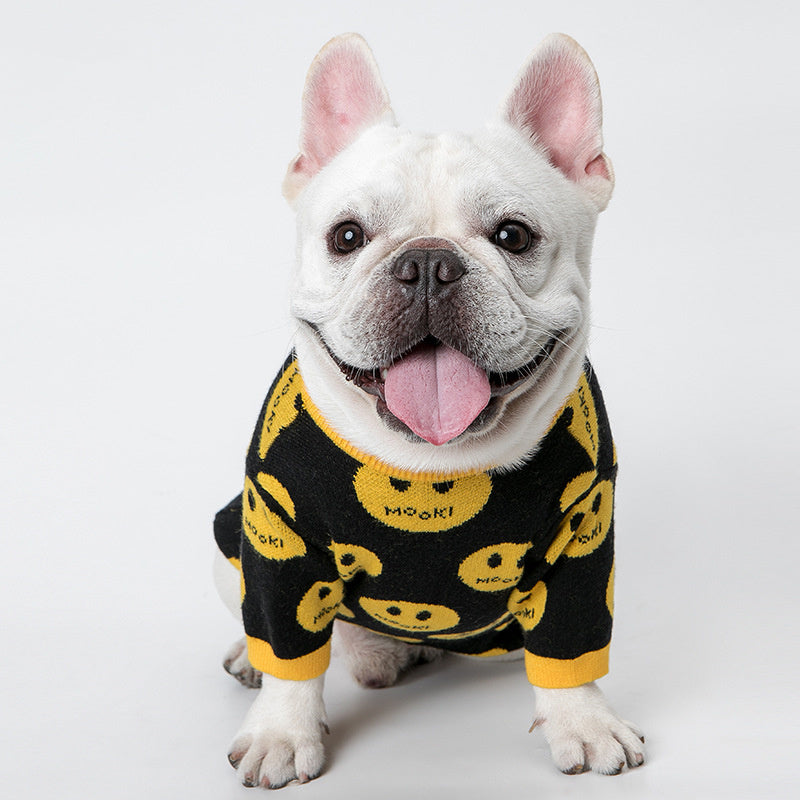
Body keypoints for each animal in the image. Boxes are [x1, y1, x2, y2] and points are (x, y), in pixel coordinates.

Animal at [212, 31, 644, 788]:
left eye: (513, 236)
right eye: (347, 237)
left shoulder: (585, 542)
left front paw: (583, 723)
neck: (428, 460)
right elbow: (287, 650)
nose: (429, 264)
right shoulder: (275, 539)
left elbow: (572, 648)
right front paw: (280, 732)